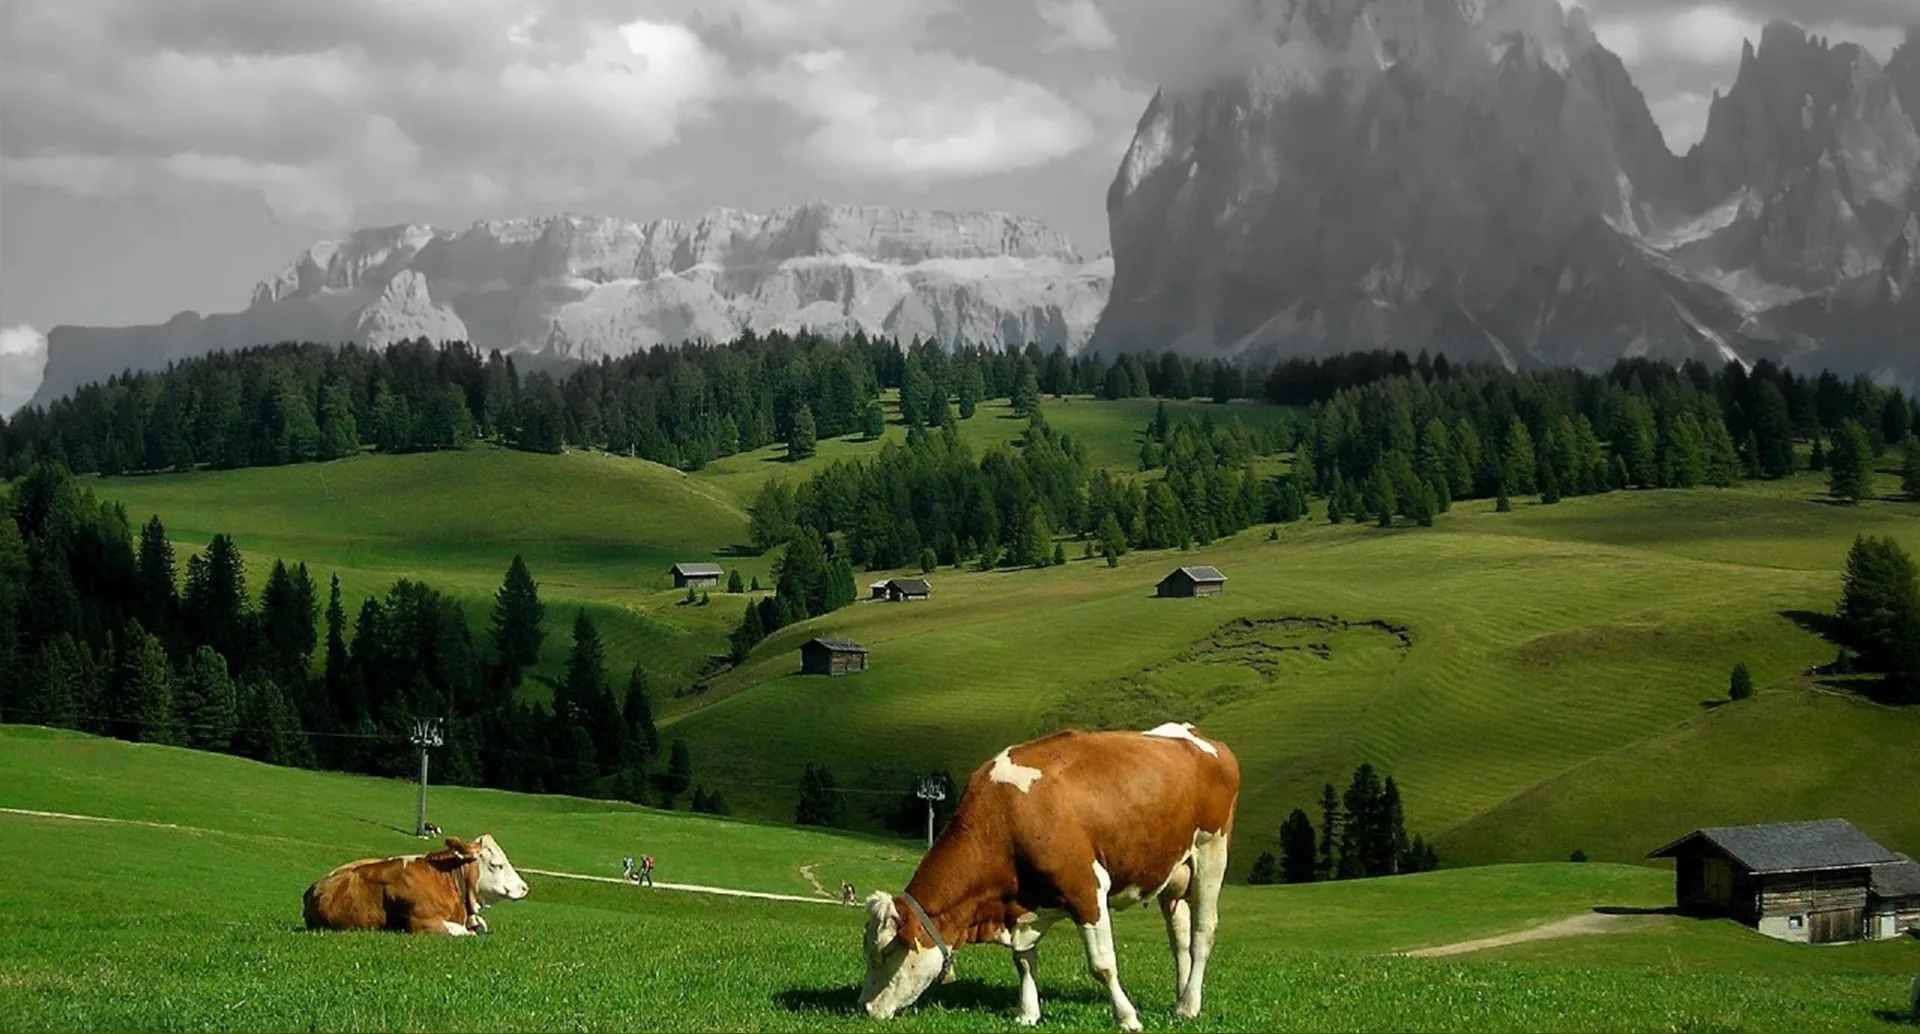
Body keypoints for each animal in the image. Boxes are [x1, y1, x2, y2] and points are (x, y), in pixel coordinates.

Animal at [858, 722, 1239, 1031]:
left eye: (887, 951)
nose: (864, 1009)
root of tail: (1196, 735)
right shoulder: (1022, 906)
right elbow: (1024, 961)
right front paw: (1028, 1013)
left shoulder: (1086, 887)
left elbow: (1102, 965)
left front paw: (1127, 1017)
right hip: (1173, 874)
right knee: (1180, 939)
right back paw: (1184, 997)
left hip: (1212, 853)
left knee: (1203, 933)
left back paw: (1188, 1005)